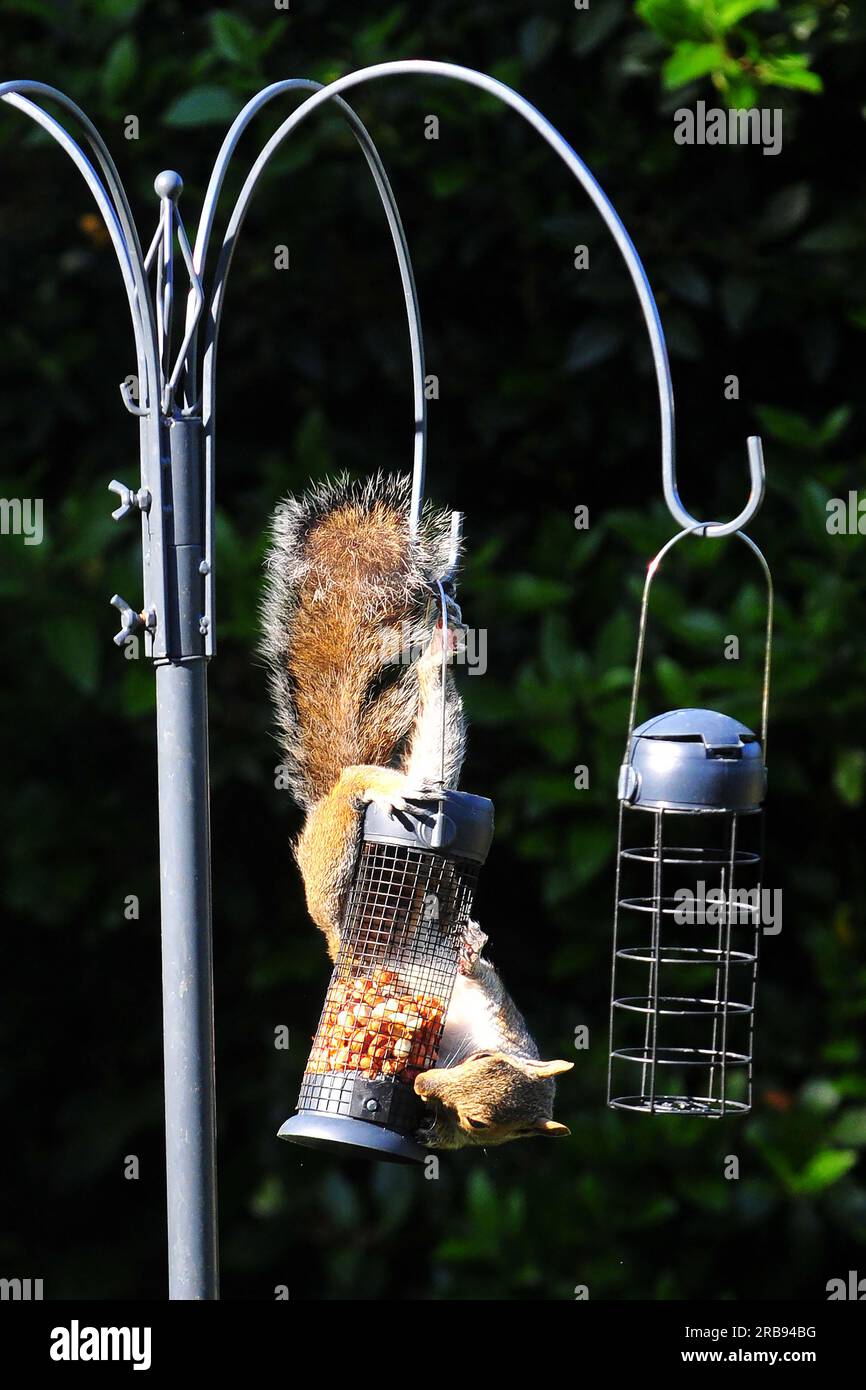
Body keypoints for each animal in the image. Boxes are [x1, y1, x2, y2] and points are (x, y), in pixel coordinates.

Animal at [264, 472, 575, 1145]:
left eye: (481, 1124)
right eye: (484, 1064)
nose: (429, 1089)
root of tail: (351, 951)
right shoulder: (488, 996)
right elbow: (476, 970)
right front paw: (470, 947)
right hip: (339, 871)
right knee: (356, 796)